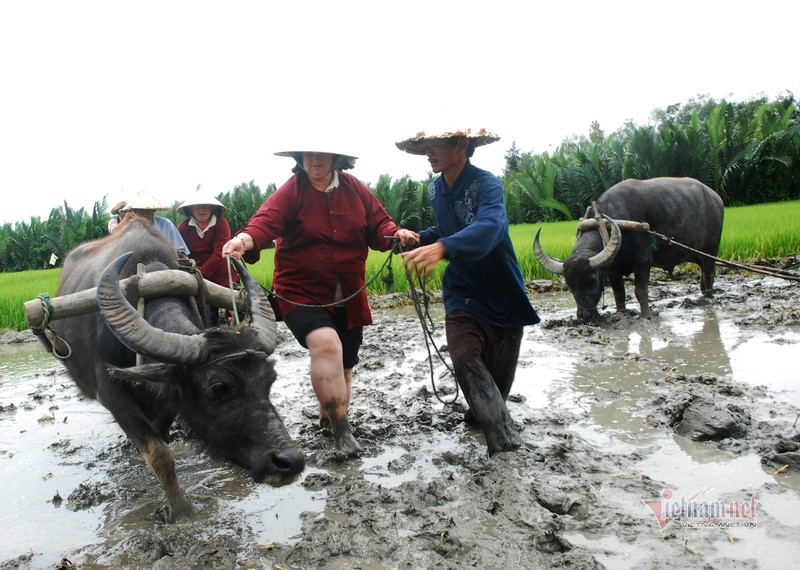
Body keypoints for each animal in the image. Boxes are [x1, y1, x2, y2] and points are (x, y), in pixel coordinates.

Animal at [44, 221, 306, 520]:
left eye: (270, 380)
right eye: (220, 387)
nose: (290, 460)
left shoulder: (167, 402)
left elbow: (163, 438)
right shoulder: (112, 395)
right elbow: (159, 454)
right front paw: (182, 510)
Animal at [536, 178, 720, 320]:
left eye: (593, 280)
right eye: (569, 285)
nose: (584, 316)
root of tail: (715, 197)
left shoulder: (643, 263)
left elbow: (640, 291)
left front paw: (646, 315)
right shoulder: (612, 269)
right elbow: (619, 293)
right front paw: (621, 313)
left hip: (711, 251)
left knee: (709, 274)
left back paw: (709, 298)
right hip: (696, 254)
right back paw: (704, 295)